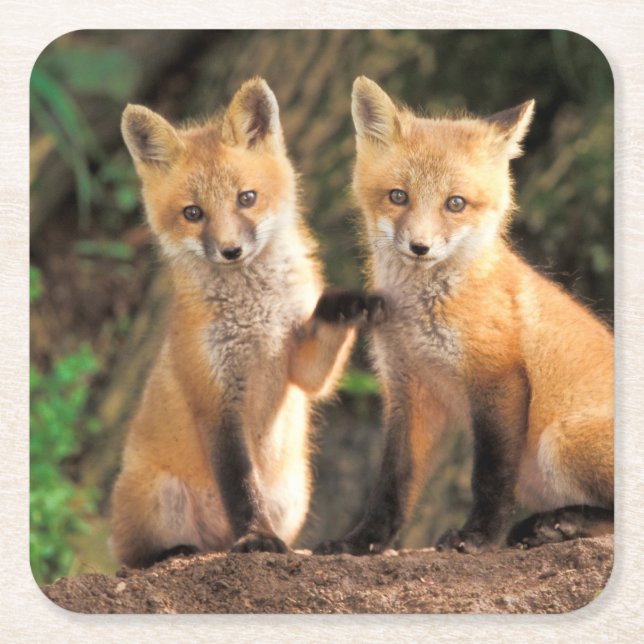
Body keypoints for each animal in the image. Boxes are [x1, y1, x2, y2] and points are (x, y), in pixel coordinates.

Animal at [110, 78, 384, 567]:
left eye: (247, 198)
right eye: (193, 213)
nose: (231, 251)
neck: (256, 318)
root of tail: (215, 542)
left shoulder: (300, 367)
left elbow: (319, 357)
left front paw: (346, 304)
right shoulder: (216, 399)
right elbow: (240, 487)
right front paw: (256, 537)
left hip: (293, 496)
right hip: (160, 498)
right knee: (133, 557)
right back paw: (176, 552)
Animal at [315, 76, 613, 556]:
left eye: (455, 203)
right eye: (398, 196)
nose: (420, 247)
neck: (420, 319)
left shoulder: (497, 377)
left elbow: (490, 476)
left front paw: (478, 537)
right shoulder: (408, 389)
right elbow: (392, 483)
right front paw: (362, 542)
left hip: (560, 441)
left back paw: (561, 524)